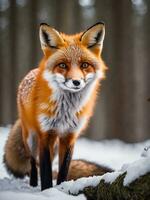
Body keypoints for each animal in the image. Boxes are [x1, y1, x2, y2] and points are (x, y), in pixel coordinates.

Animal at [3, 22, 106, 190]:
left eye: (85, 65)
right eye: (62, 65)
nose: (76, 82)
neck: (66, 111)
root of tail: (32, 72)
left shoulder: (69, 136)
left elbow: (63, 170)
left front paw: (60, 188)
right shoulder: (45, 134)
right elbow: (45, 172)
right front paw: (46, 190)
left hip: (55, 144)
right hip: (31, 139)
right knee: (33, 164)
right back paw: (33, 185)